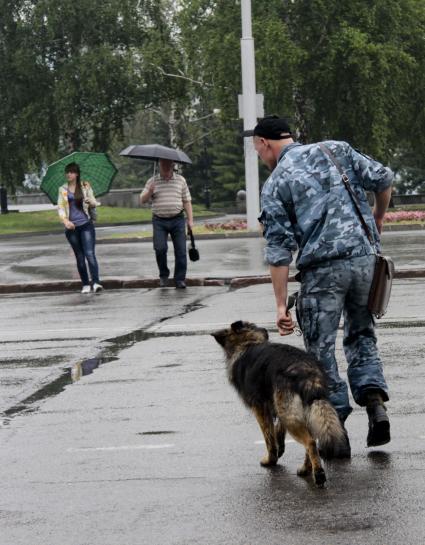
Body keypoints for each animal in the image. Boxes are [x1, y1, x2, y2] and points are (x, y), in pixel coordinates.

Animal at [212, 318, 348, 484]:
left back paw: (319, 474)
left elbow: (268, 438)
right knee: (312, 440)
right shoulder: (277, 405)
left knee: (310, 442)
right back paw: (306, 468)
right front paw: (280, 445)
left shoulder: (260, 409)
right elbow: (278, 429)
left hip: (291, 417)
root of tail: (308, 371)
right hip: (300, 411)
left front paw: (270, 460)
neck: (248, 343)